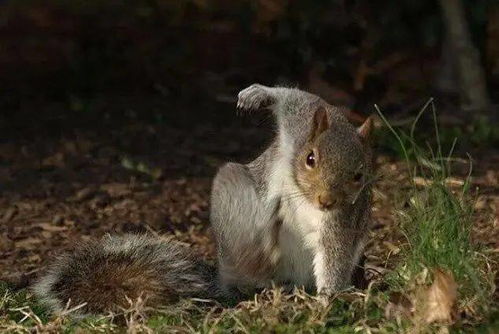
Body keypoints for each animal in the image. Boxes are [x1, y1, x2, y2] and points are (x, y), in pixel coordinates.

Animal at [32, 84, 376, 316]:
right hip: (231, 194)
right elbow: (294, 97)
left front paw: (329, 300)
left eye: (360, 175)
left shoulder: (341, 220)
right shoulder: (299, 122)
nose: (326, 200)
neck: (303, 194)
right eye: (310, 158)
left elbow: (334, 256)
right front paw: (257, 94)